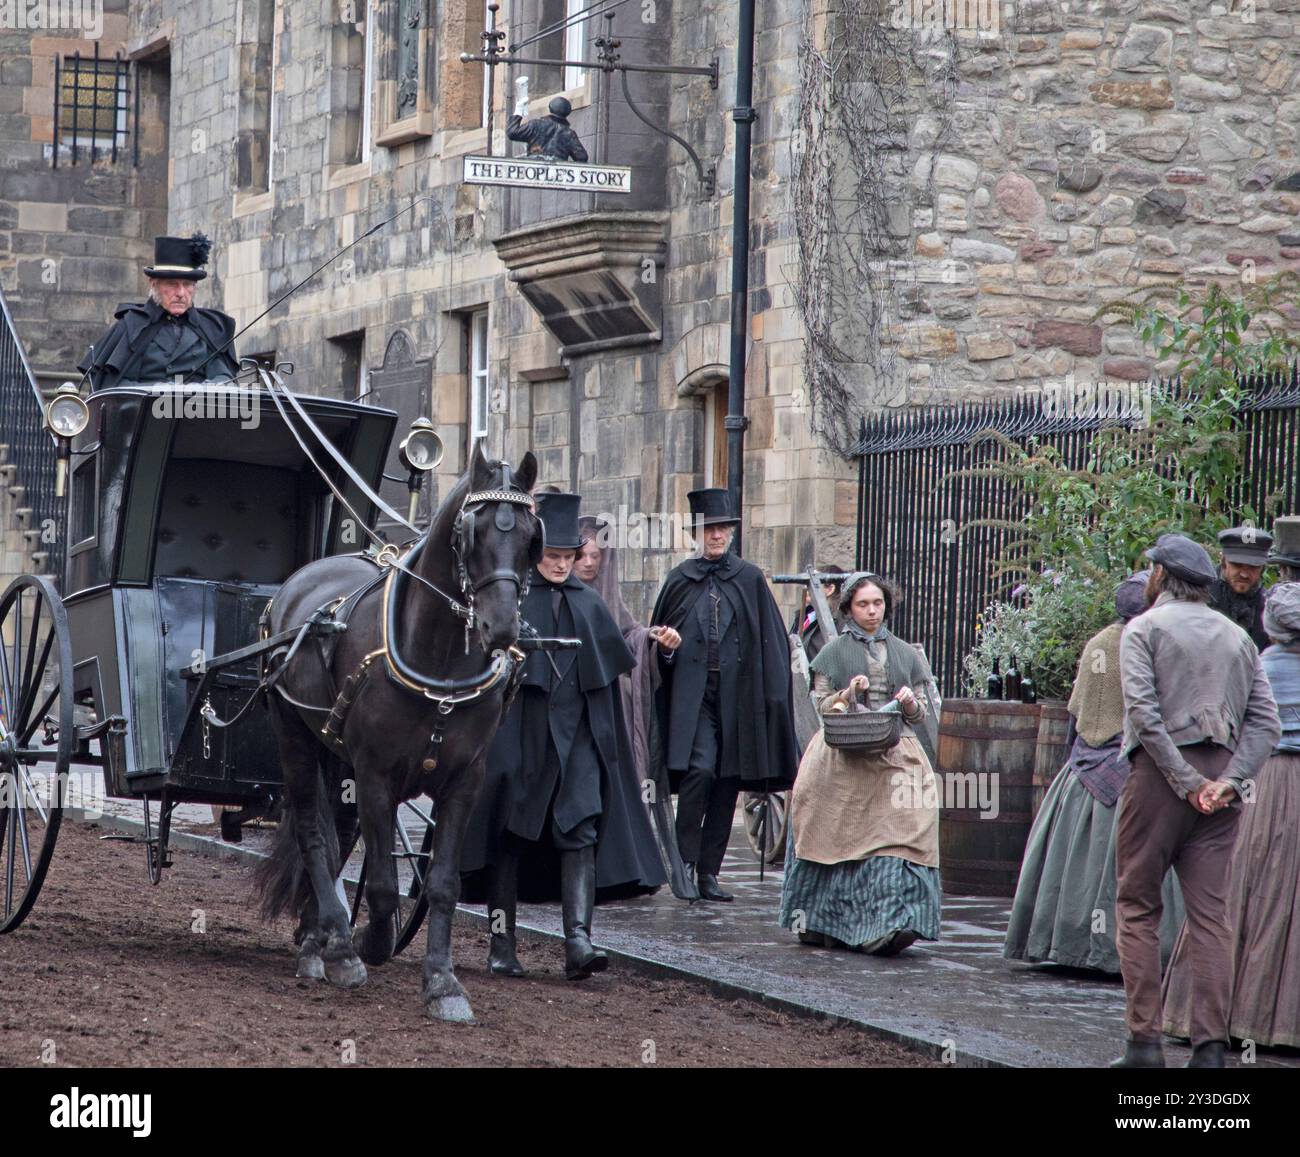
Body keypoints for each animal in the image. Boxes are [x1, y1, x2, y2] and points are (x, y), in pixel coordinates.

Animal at [256, 441, 540, 1019]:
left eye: (529, 537)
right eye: (472, 533)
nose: (501, 629)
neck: (438, 659)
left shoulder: (464, 781)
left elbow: (443, 885)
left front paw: (443, 983)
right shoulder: (375, 775)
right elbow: (385, 886)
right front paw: (365, 945)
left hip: (334, 753)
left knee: (337, 838)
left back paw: (317, 937)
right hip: (295, 735)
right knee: (314, 834)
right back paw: (336, 945)